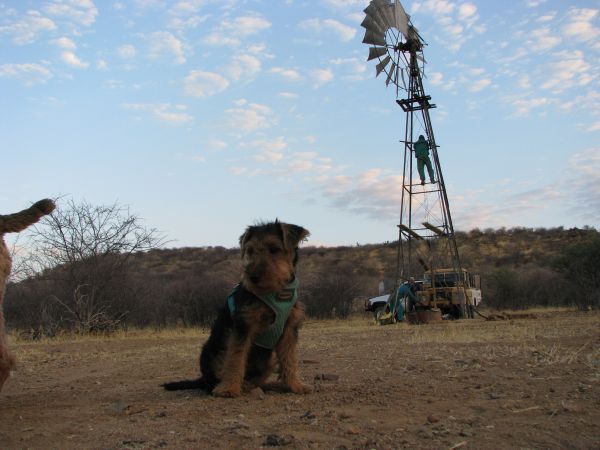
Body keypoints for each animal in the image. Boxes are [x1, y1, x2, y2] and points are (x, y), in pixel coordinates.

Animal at [165, 221, 314, 398]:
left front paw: (296, 385)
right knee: (213, 381)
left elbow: (289, 359)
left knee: (257, 379)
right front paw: (229, 388)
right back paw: (233, 386)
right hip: (210, 352)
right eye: (250, 250)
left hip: (267, 361)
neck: (274, 293)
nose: (253, 277)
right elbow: (236, 358)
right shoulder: (243, 326)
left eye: (274, 249)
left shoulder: (289, 329)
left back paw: (265, 386)